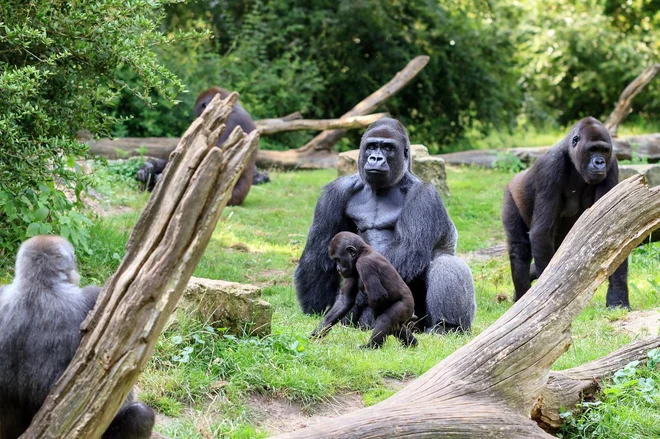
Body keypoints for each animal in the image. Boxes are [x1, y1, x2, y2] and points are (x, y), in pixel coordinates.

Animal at [296, 117, 476, 334]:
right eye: (372, 146)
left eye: (388, 148)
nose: (376, 158)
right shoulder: (336, 190)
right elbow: (319, 250)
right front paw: (318, 308)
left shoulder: (425, 195)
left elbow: (408, 250)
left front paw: (355, 299)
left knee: (445, 262)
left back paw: (447, 326)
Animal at [500, 117, 628, 310]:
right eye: (593, 150)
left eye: (604, 151)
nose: (600, 162)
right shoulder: (550, 167)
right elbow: (541, 232)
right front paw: (544, 296)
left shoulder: (612, 165)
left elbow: (615, 225)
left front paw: (618, 298)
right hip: (510, 196)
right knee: (519, 248)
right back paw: (523, 296)